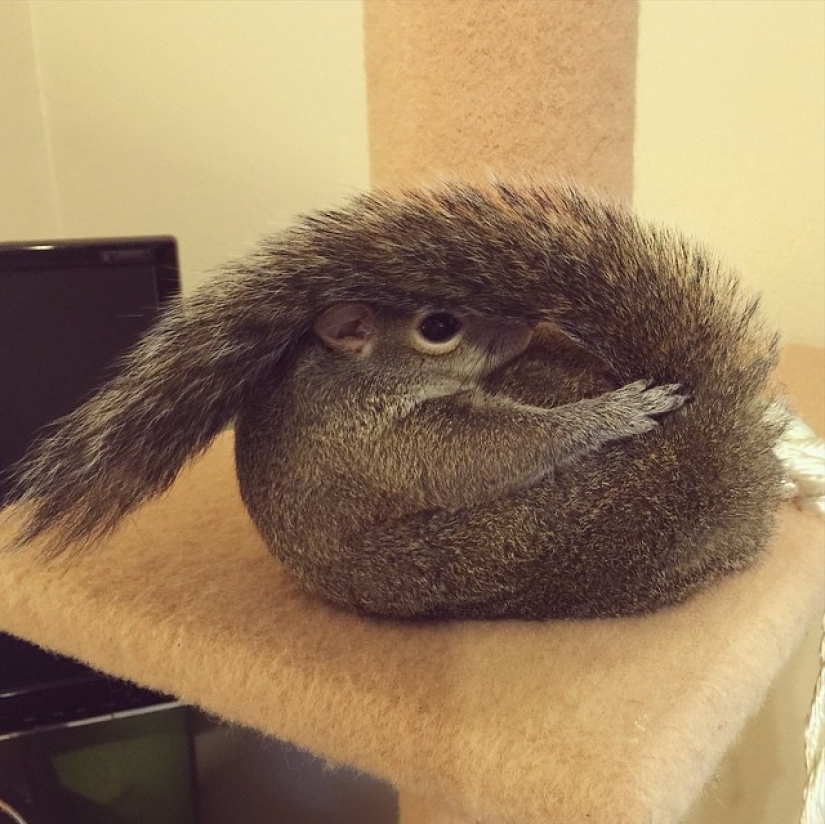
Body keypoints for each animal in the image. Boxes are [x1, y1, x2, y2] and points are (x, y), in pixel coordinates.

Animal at [7, 181, 785, 619]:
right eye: (438, 326)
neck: (347, 379)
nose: (526, 323)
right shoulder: (390, 448)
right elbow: (493, 452)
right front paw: (610, 413)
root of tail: (715, 448)